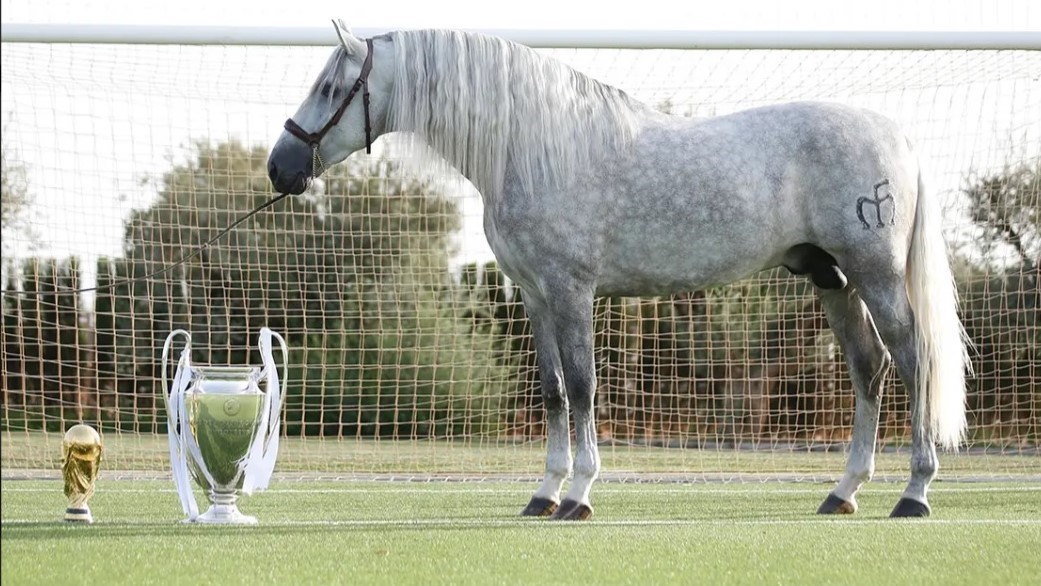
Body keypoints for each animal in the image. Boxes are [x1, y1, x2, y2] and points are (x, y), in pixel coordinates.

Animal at [267, 21, 972, 520]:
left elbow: (582, 387)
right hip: (833, 280)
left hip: (876, 274)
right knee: (869, 367)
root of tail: (898, 135)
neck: (533, 147)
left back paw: (914, 494)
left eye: (331, 88)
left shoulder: (573, 293)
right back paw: (843, 492)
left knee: (914, 361)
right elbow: (553, 391)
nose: (280, 168)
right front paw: (544, 493)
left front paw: (578, 495)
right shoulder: (536, 297)